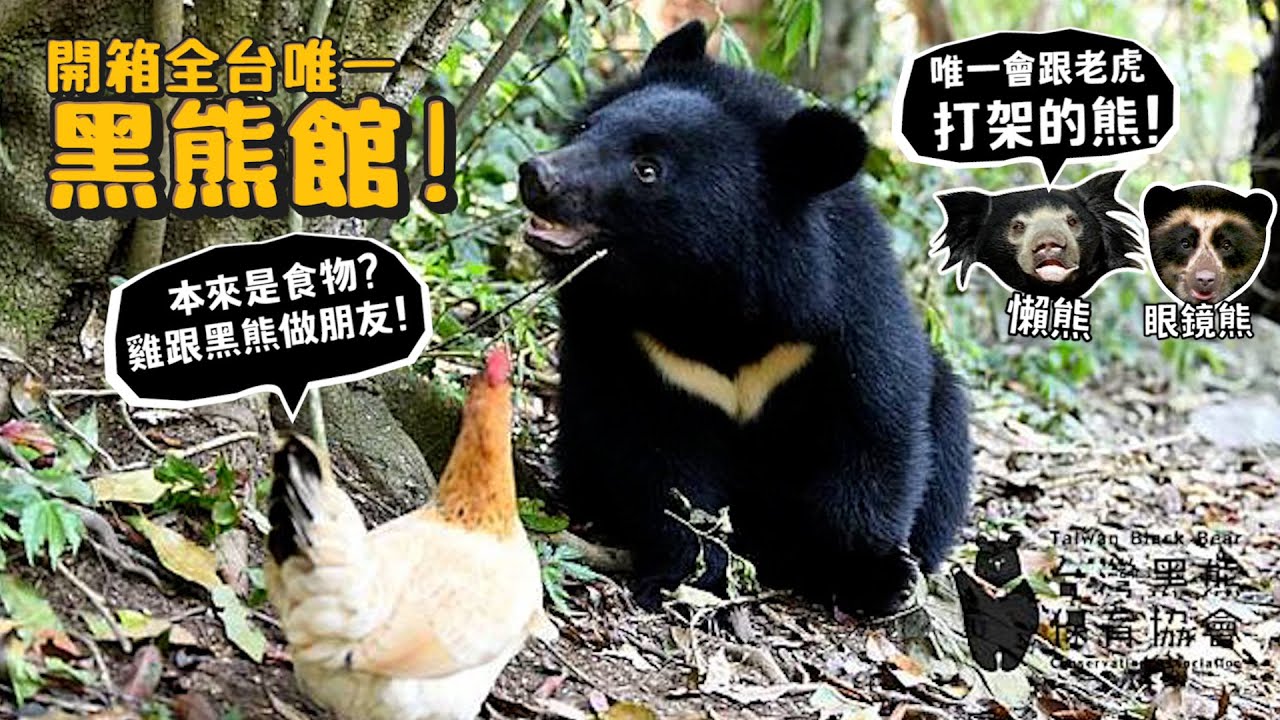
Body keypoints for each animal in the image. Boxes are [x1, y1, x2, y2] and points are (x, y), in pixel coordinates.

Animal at [517, 20, 973, 616]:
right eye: (587, 128)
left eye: (648, 170)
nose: (537, 175)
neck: (705, 299)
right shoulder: (637, 345)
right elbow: (657, 462)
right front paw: (685, 574)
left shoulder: (842, 317)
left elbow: (874, 430)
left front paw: (869, 575)